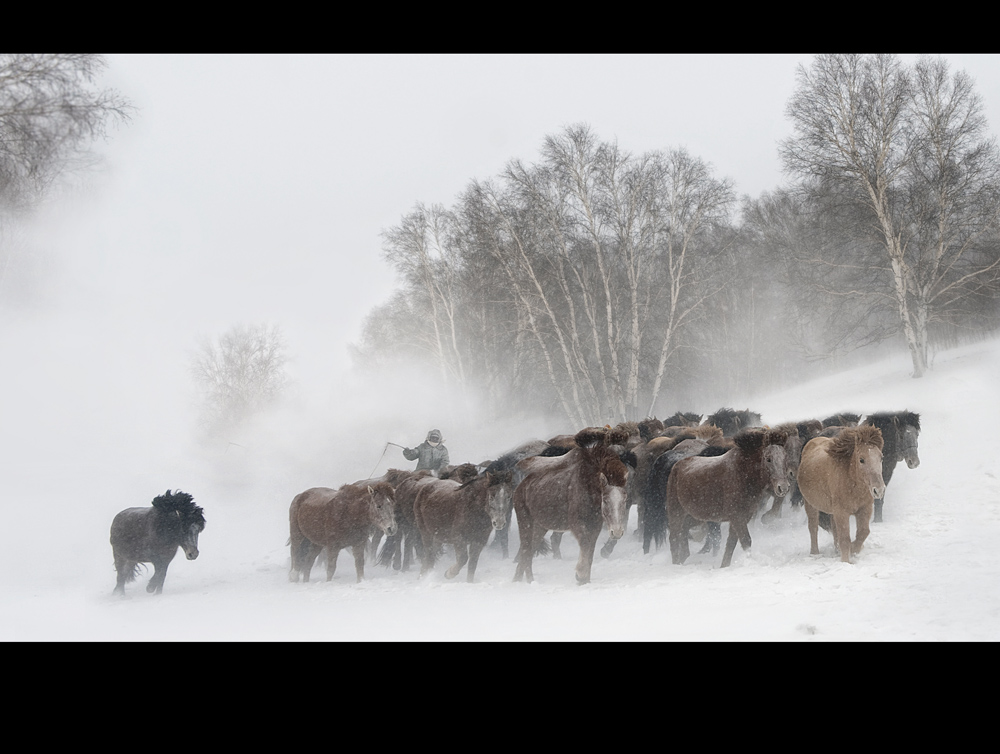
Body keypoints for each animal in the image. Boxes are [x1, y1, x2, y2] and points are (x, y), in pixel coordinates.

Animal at [512, 426, 628, 584]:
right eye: (605, 500)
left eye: (624, 499)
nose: (616, 532)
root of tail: (519, 488)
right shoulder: (577, 523)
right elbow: (585, 545)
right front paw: (580, 574)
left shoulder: (595, 525)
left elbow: (590, 552)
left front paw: (584, 579)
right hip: (525, 521)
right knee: (525, 550)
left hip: (540, 526)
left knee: (529, 551)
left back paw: (527, 580)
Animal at [664, 426, 788, 568]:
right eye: (768, 459)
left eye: (785, 457)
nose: (783, 487)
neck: (742, 473)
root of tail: (676, 465)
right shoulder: (737, 517)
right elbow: (745, 541)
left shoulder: (743, 517)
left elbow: (731, 543)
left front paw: (724, 566)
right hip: (676, 512)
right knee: (674, 537)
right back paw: (676, 563)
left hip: (697, 516)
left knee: (683, 531)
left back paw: (684, 558)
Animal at [792, 426, 888, 560]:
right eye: (861, 459)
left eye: (881, 457)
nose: (878, 490)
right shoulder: (841, 512)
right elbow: (845, 538)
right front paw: (846, 560)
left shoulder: (865, 509)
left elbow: (863, 532)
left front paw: (855, 550)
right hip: (810, 504)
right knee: (813, 527)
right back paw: (815, 553)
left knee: (833, 528)